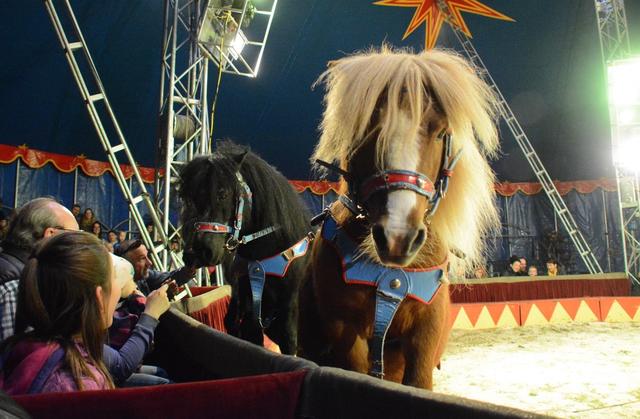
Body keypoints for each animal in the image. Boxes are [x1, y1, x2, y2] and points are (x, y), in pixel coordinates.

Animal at [179, 141, 312, 354]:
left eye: (222, 193)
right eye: (187, 198)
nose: (195, 253)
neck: (264, 261)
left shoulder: (290, 320)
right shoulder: (250, 313)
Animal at [298, 48, 502, 390]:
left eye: (441, 132)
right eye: (368, 130)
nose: (397, 237)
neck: (390, 277)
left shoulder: (425, 333)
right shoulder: (346, 332)